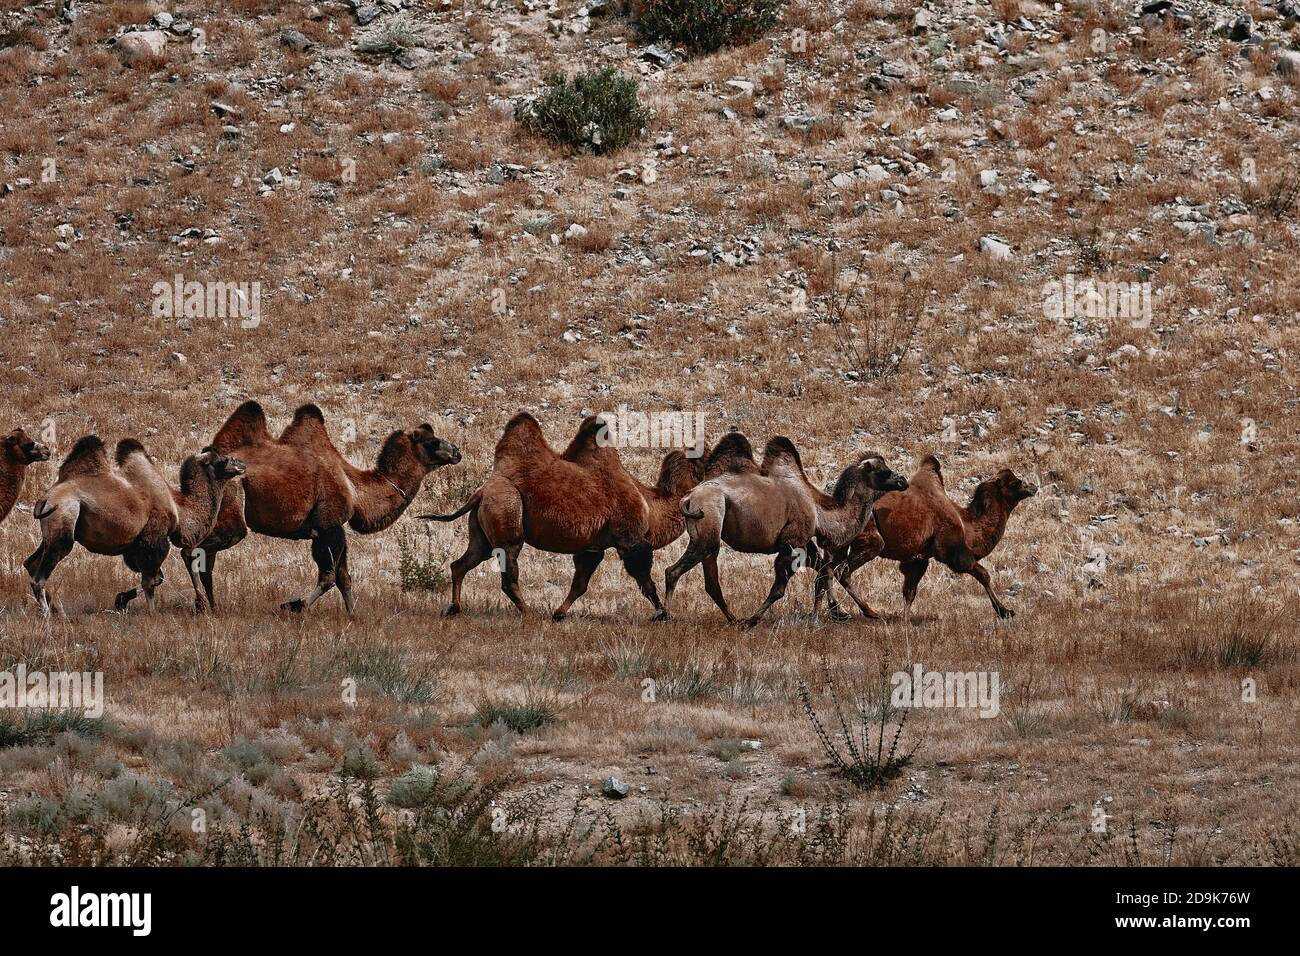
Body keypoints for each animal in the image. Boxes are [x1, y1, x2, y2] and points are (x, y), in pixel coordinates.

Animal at [24, 434, 244, 613]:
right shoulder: (154, 537)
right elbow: (150, 581)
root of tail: (46, 500)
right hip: (65, 519)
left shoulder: (134, 546)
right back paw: (47, 614)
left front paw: (121, 600)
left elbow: (157, 578)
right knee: (40, 577)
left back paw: (54, 609)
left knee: (31, 563)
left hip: (51, 531)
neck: (178, 509)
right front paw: (152, 614)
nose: (241, 464)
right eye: (223, 460)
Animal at [114, 403, 462, 613]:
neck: (355, 487)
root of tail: (194, 469)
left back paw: (207, 606)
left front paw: (352, 616)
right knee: (192, 550)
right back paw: (195, 603)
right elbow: (329, 575)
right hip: (233, 508)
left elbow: (344, 576)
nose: (457, 451)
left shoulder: (330, 528)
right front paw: (294, 606)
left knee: (204, 559)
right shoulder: (329, 524)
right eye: (432, 442)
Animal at [421, 411, 712, 621]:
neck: (650, 504)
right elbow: (645, 580)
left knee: (461, 563)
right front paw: (663, 613)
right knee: (508, 573)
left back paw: (454, 608)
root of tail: (481, 491)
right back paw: (528, 612)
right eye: (706, 459)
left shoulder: (593, 547)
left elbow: (579, 584)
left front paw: (559, 613)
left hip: (481, 530)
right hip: (507, 514)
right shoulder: (630, 540)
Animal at [660, 434, 904, 629]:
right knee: (674, 570)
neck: (818, 510)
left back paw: (732, 619)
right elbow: (780, 589)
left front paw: (849, 613)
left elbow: (824, 570)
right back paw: (666, 616)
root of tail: (688, 498)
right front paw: (752, 620)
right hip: (708, 522)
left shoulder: (805, 542)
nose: (902, 480)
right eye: (884, 472)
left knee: (710, 581)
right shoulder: (792, 542)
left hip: (708, 532)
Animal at [826, 455, 1040, 621]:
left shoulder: (917, 558)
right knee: (842, 570)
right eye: (1016, 482)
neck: (966, 524)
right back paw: (869, 612)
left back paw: (838, 613)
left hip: (840, 544)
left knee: (827, 569)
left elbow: (909, 591)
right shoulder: (952, 550)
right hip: (869, 539)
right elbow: (983, 574)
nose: (1033, 488)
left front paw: (905, 621)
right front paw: (1005, 611)